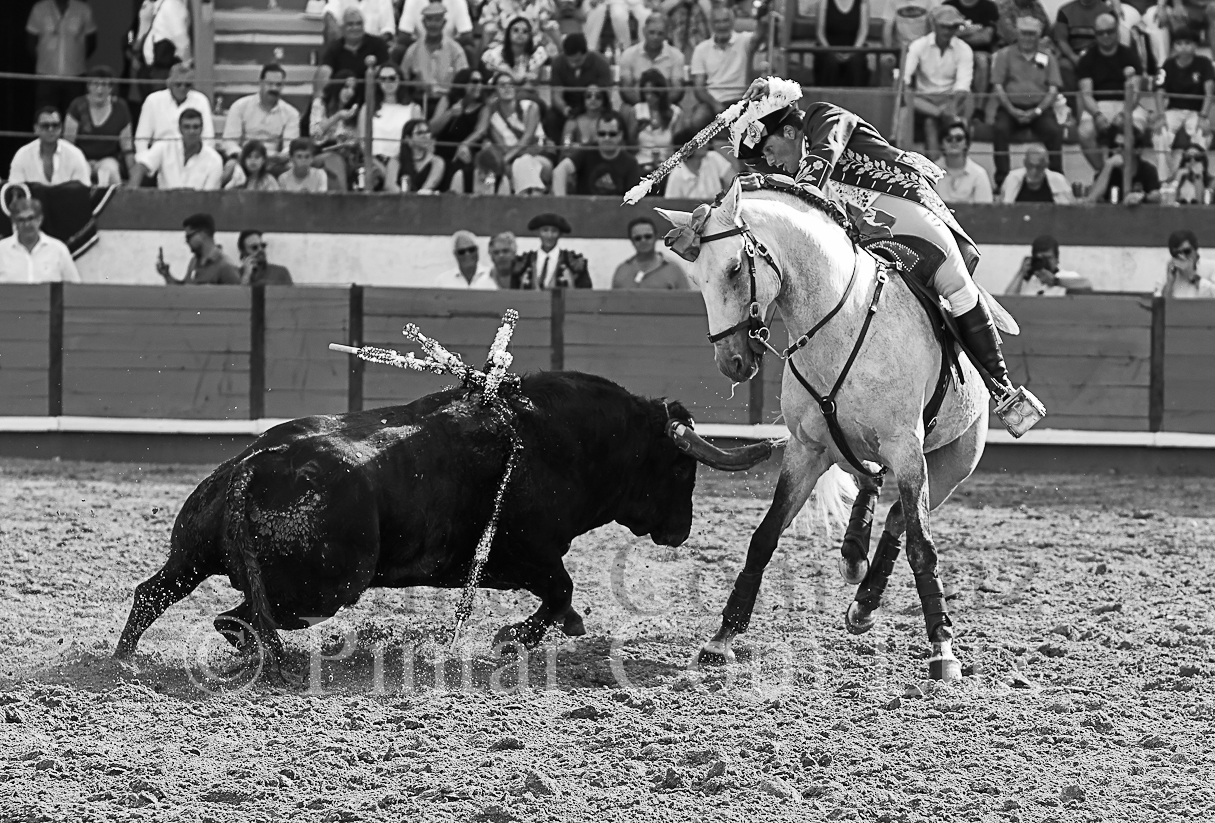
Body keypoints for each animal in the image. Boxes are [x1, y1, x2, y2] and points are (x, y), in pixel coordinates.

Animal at [114, 371, 773, 681]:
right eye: (680, 468)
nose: (681, 529)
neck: (566, 439)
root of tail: (256, 464)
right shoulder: (522, 556)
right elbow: (562, 593)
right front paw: (514, 637)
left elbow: (560, 595)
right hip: (325, 589)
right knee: (240, 618)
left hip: (193, 555)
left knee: (156, 595)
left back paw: (124, 661)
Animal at [657, 176, 1016, 681]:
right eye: (697, 279)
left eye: (734, 268)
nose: (732, 363)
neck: (838, 322)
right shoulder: (806, 449)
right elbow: (764, 536)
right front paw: (723, 635)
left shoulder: (906, 448)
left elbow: (922, 546)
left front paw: (942, 648)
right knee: (872, 487)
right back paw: (854, 562)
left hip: (951, 464)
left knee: (900, 518)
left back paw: (866, 598)